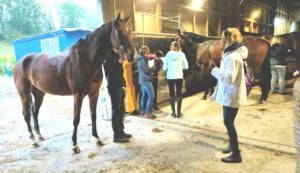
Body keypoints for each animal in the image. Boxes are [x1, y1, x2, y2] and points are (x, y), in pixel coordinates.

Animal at [12, 13, 137, 154]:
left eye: (129, 31)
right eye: (118, 31)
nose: (132, 54)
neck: (86, 60)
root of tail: (19, 62)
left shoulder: (94, 93)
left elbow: (93, 116)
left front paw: (97, 139)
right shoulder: (78, 95)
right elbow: (76, 119)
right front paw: (75, 145)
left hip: (39, 93)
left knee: (35, 111)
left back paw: (39, 135)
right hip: (24, 94)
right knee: (26, 114)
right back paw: (33, 140)